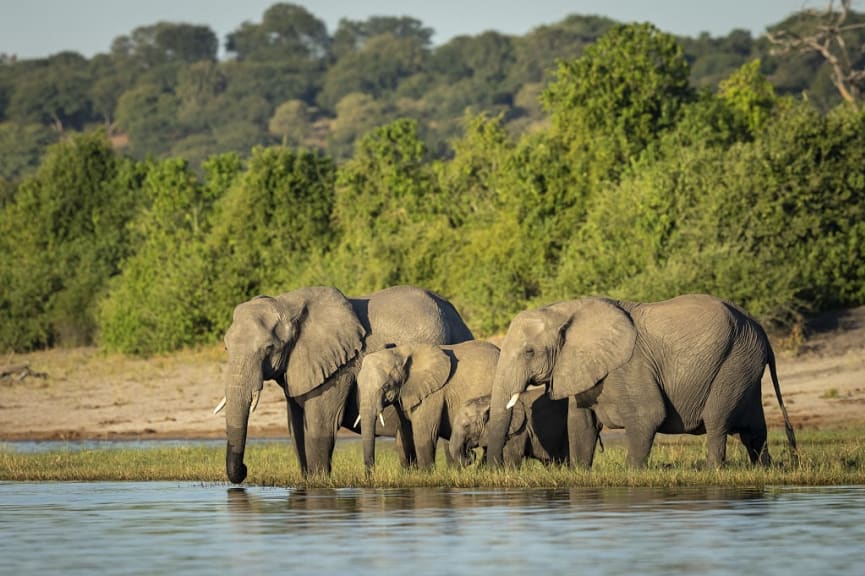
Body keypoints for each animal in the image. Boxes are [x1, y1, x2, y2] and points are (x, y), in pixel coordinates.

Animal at [216, 284, 472, 482]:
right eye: (226, 347)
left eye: (269, 348)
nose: (245, 470)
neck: (287, 304)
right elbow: (295, 427)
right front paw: (306, 481)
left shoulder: (338, 368)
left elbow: (321, 424)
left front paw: (318, 482)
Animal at [356, 340, 500, 470]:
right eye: (358, 384)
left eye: (386, 386)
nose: (370, 474)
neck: (401, 352)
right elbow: (406, 433)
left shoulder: (432, 394)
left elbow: (425, 434)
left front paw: (426, 474)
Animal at [486, 292, 796, 468]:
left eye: (529, 352)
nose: (495, 470)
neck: (568, 309)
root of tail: (760, 329)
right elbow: (580, 424)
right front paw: (579, 473)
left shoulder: (630, 365)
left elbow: (648, 416)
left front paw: (631, 473)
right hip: (745, 366)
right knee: (754, 430)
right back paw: (765, 469)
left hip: (735, 361)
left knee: (717, 421)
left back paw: (713, 471)